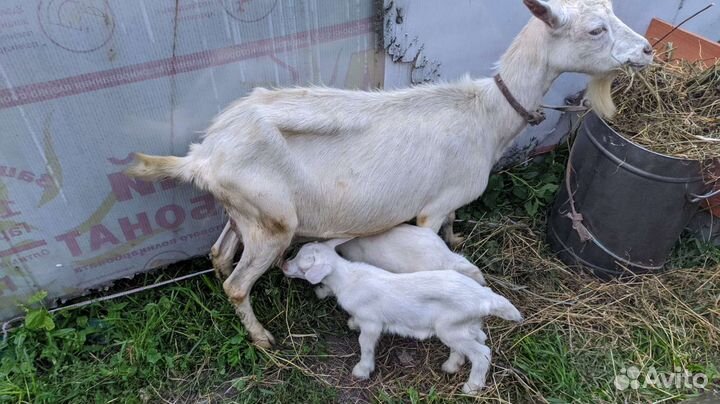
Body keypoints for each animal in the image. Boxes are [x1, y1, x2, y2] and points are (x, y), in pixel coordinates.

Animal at [126, 0, 652, 347]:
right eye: (595, 30)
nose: (647, 50)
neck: (484, 114)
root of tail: (203, 155)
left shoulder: (450, 200)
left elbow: (453, 226)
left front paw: (459, 239)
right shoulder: (431, 208)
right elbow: (435, 241)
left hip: (245, 212)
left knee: (219, 256)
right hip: (273, 223)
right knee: (237, 283)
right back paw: (263, 339)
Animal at [282, 239, 522, 394]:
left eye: (301, 263)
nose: (283, 265)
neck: (349, 279)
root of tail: (485, 296)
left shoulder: (372, 322)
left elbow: (365, 344)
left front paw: (362, 370)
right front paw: (352, 323)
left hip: (450, 329)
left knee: (482, 353)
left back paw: (471, 387)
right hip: (462, 326)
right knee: (478, 339)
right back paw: (451, 365)